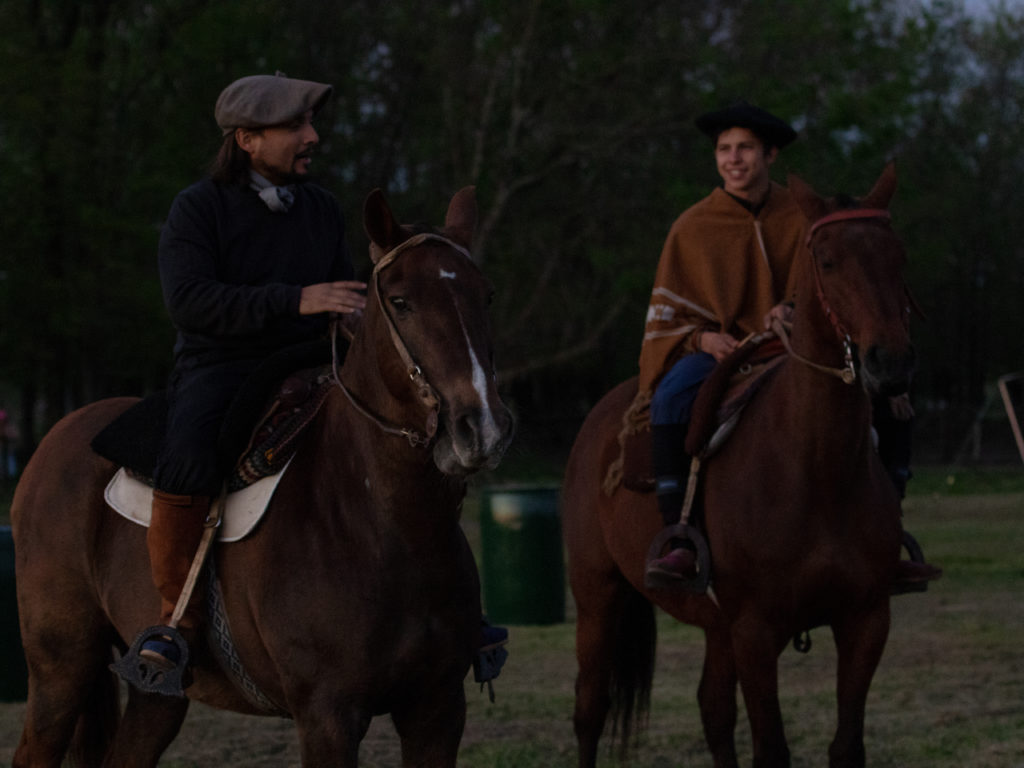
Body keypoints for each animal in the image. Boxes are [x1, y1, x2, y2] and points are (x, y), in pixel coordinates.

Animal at [12, 186, 516, 768]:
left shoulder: (437, 709)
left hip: (156, 697)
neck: (386, 526)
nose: (480, 426)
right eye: (400, 300)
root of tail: (57, 438)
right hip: (61, 668)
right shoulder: (327, 716)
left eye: (487, 296)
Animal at [569, 166, 913, 768]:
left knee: (713, 711)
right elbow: (771, 748)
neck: (815, 470)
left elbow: (846, 745)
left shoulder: (866, 620)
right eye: (827, 261)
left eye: (897, 256)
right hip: (597, 596)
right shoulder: (756, 631)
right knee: (590, 709)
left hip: (714, 626)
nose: (888, 363)